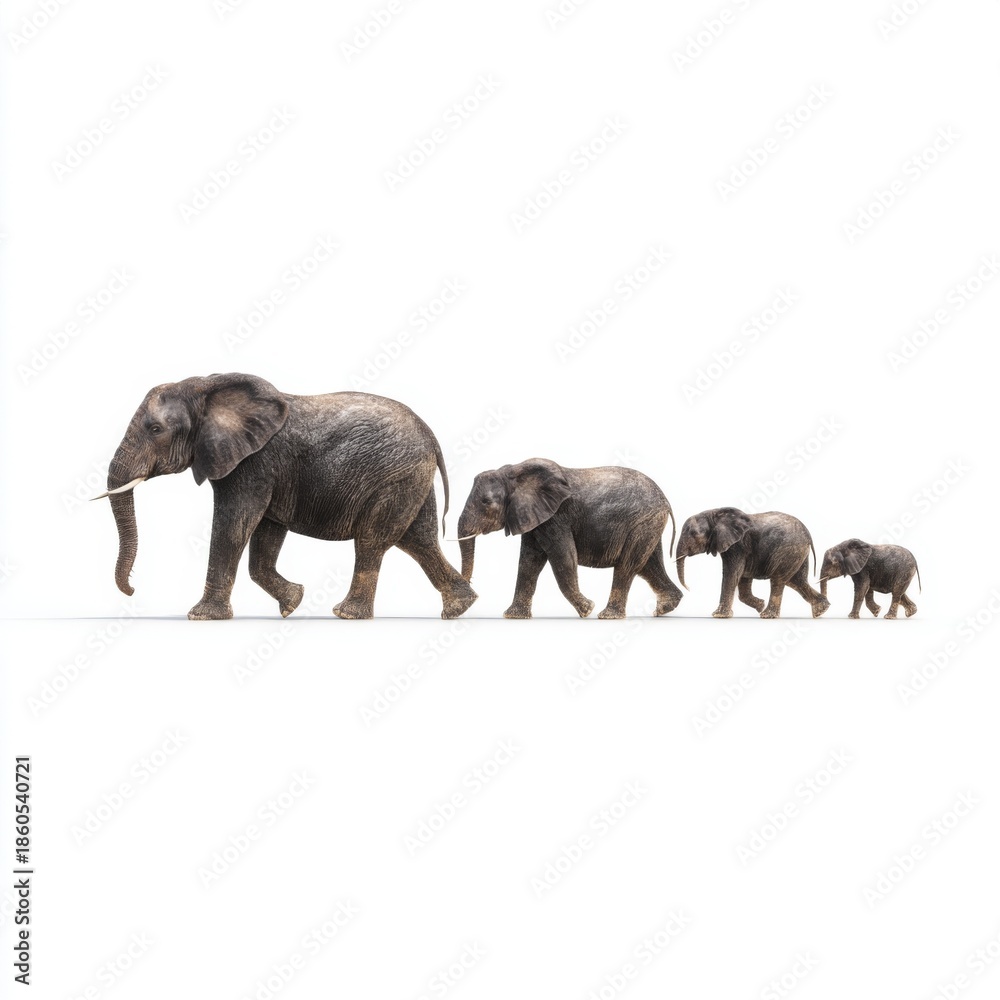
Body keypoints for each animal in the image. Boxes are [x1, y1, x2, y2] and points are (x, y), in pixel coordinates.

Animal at [93, 373, 478, 620]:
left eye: (155, 429)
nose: (132, 590)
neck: (207, 387)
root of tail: (431, 436)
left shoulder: (254, 463)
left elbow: (233, 526)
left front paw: (201, 617)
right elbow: (265, 532)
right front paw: (293, 604)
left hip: (394, 476)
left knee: (374, 541)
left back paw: (347, 614)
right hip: (410, 478)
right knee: (418, 539)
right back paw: (460, 608)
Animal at [455, 458, 683, 619]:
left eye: (486, 502)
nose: (471, 596)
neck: (513, 471)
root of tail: (666, 501)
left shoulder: (557, 516)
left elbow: (563, 557)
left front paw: (587, 610)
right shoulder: (535, 518)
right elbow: (529, 563)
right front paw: (512, 617)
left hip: (644, 521)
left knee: (628, 566)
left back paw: (607, 616)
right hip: (649, 523)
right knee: (648, 565)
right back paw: (663, 610)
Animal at [675, 507, 830, 619]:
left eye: (694, 533)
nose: (688, 588)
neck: (715, 512)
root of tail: (808, 535)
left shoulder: (738, 546)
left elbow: (732, 574)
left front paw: (719, 615)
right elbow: (742, 576)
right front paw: (760, 605)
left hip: (789, 549)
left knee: (779, 580)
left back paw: (767, 616)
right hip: (798, 552)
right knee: (796, 580)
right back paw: (821, 611)